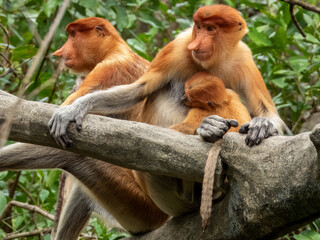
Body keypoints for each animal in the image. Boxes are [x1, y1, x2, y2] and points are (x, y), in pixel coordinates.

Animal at [0, 4, 284, 238]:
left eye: (211, 29)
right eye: (199, 28)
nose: (60, 51)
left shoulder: (243, 57)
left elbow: (267, 111)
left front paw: (261, 125)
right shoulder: (177, 48)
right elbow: (137, 91)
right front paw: (75, 109)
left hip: (144, 205)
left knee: (77, 157)